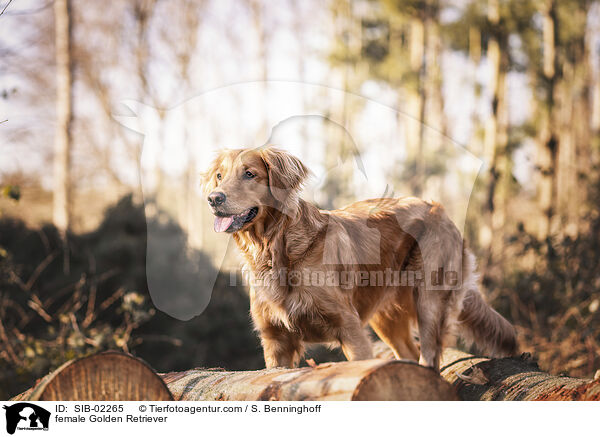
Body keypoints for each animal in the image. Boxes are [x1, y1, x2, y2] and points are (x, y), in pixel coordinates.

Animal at [203, 146, 516, 368]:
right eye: (219, 175)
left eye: (249, 174)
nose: (214, 198)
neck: (277, 249)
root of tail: (440, 209)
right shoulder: (275, 341)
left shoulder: (349, 328)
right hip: (386, 316)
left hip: (431, 301)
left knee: (428, 356)